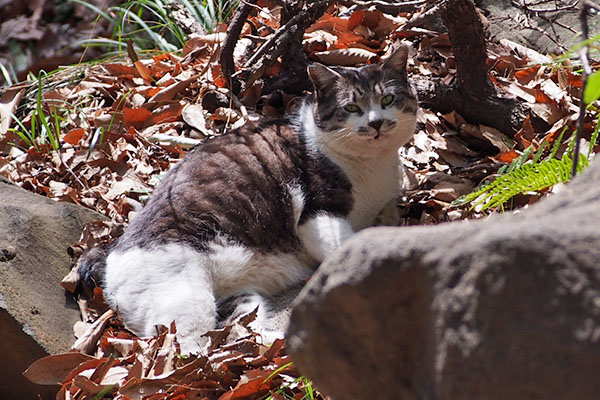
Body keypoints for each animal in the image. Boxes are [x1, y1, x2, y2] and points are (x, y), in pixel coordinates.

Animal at [78, 45, 418, 354]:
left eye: (387, 99)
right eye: (352, 108)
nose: (375, 123)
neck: (373, 168)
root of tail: (110, 256)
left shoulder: (385, 207)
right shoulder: (317, 214)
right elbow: (345, 248)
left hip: (240, 299)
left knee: (238, 332)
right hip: (185, 296)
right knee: (188, 349)